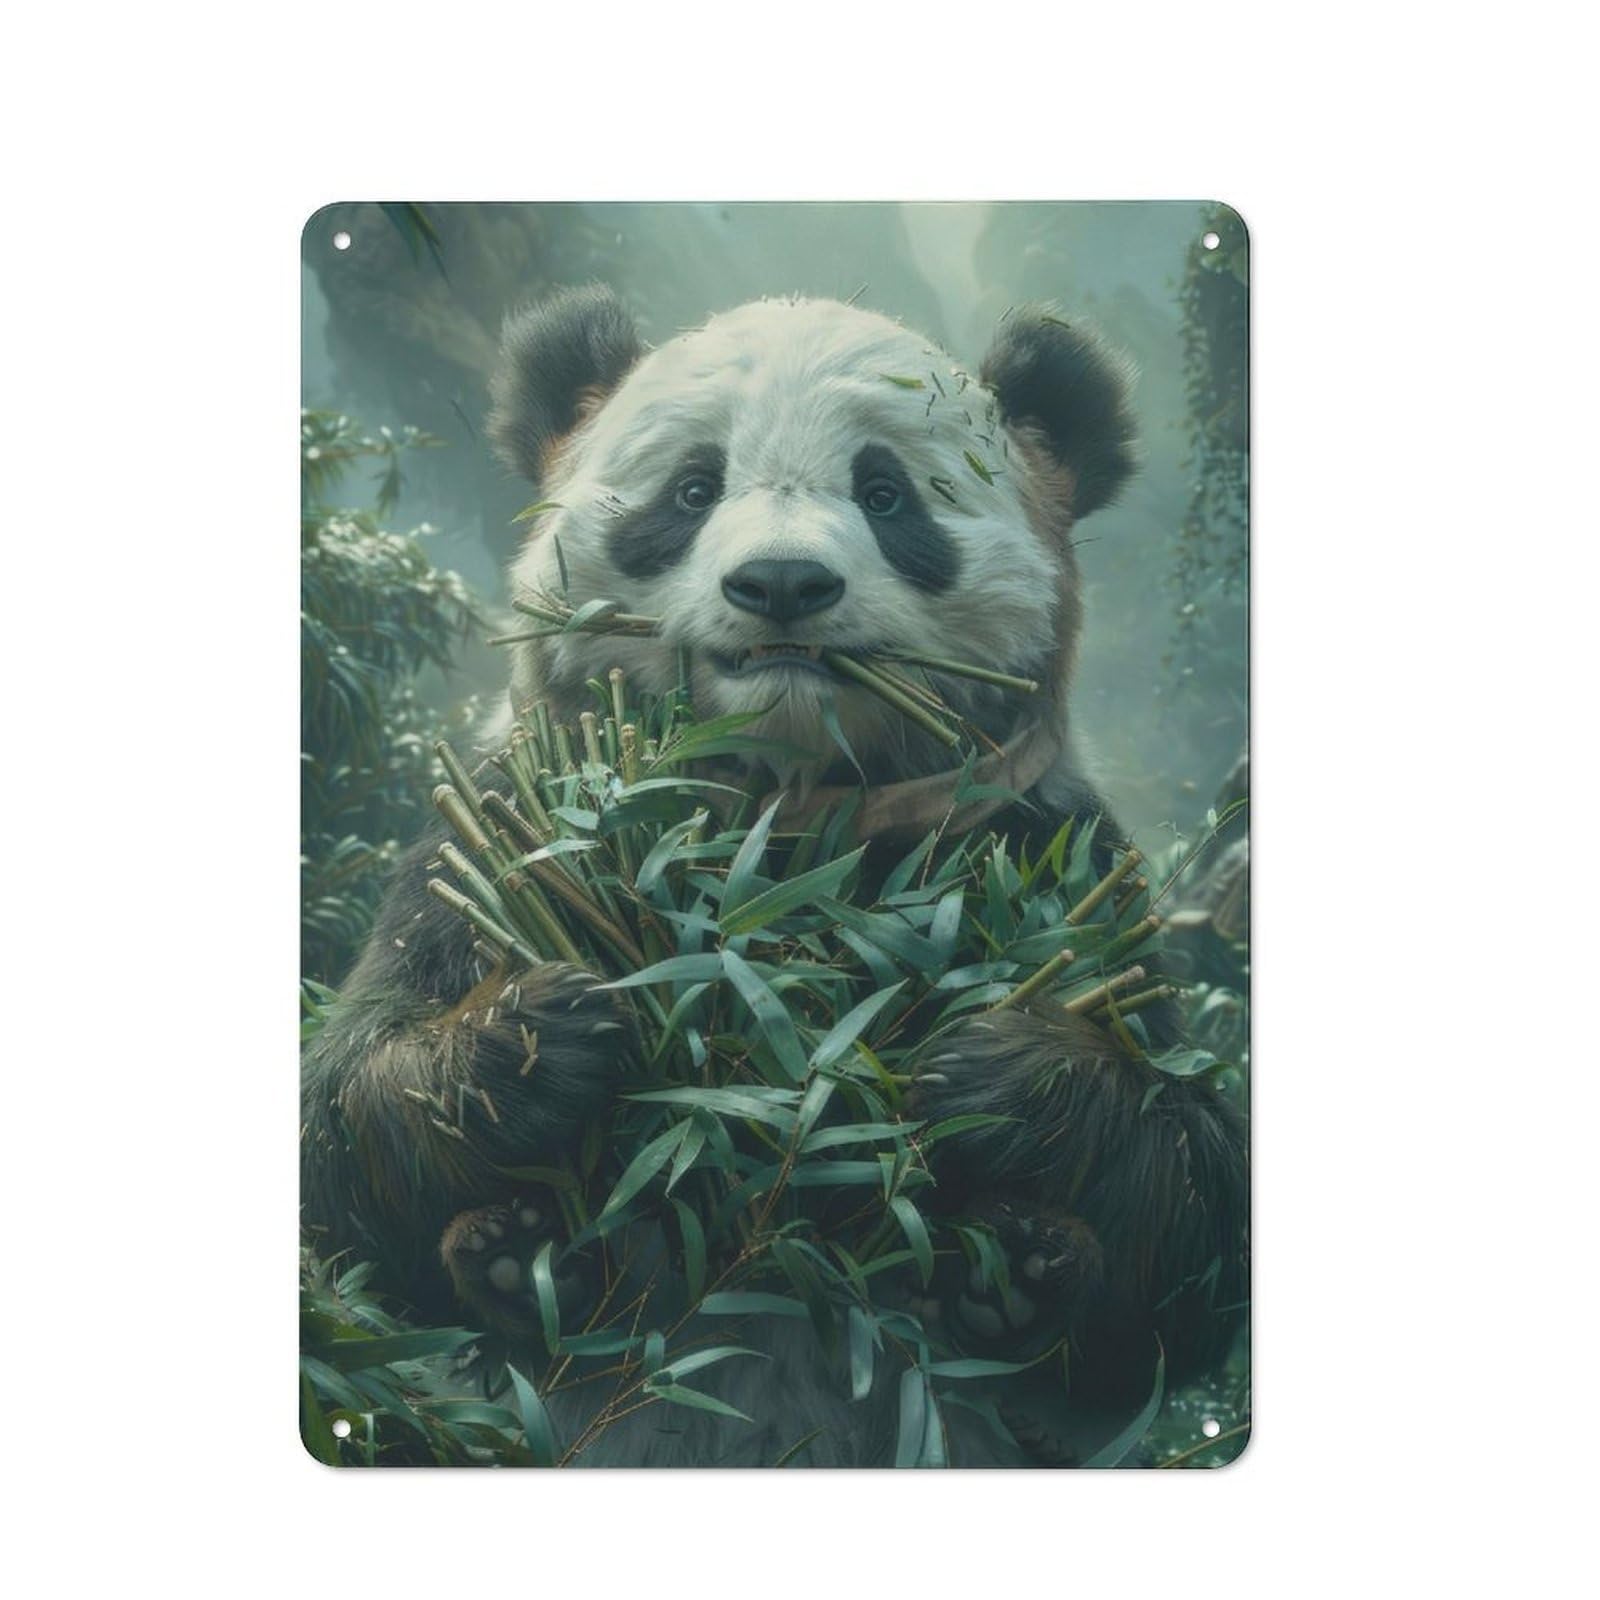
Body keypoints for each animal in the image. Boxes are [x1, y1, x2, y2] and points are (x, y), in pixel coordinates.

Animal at [301, 286, 1248, 1466]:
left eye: (885, 494)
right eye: (693, 489)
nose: (783, 584)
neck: (787, 815)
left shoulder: (1049, 849)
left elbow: (1193, 1240)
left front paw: (993, 1066)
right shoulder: (497, 829)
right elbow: (343, 1129)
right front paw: (547, 1032)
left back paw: (1011, 1277)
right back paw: (531, 1257)